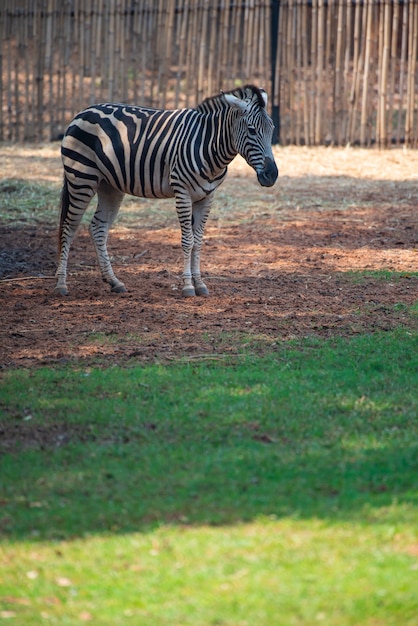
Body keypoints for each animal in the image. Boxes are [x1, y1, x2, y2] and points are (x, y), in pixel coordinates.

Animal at [54, 85, 278, 298]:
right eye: (251, 130)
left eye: (272, 128)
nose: (272, 175)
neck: (207, 144)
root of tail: (83, 111)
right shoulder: (182, 192)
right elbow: (187, 241)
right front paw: (188, 286)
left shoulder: (207, 197)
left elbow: (198, 241)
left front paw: (200, 284)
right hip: (81, 178)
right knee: (69, 227)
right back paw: (61, 285)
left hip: (109, 186)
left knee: (98, 227)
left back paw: (114, 282)